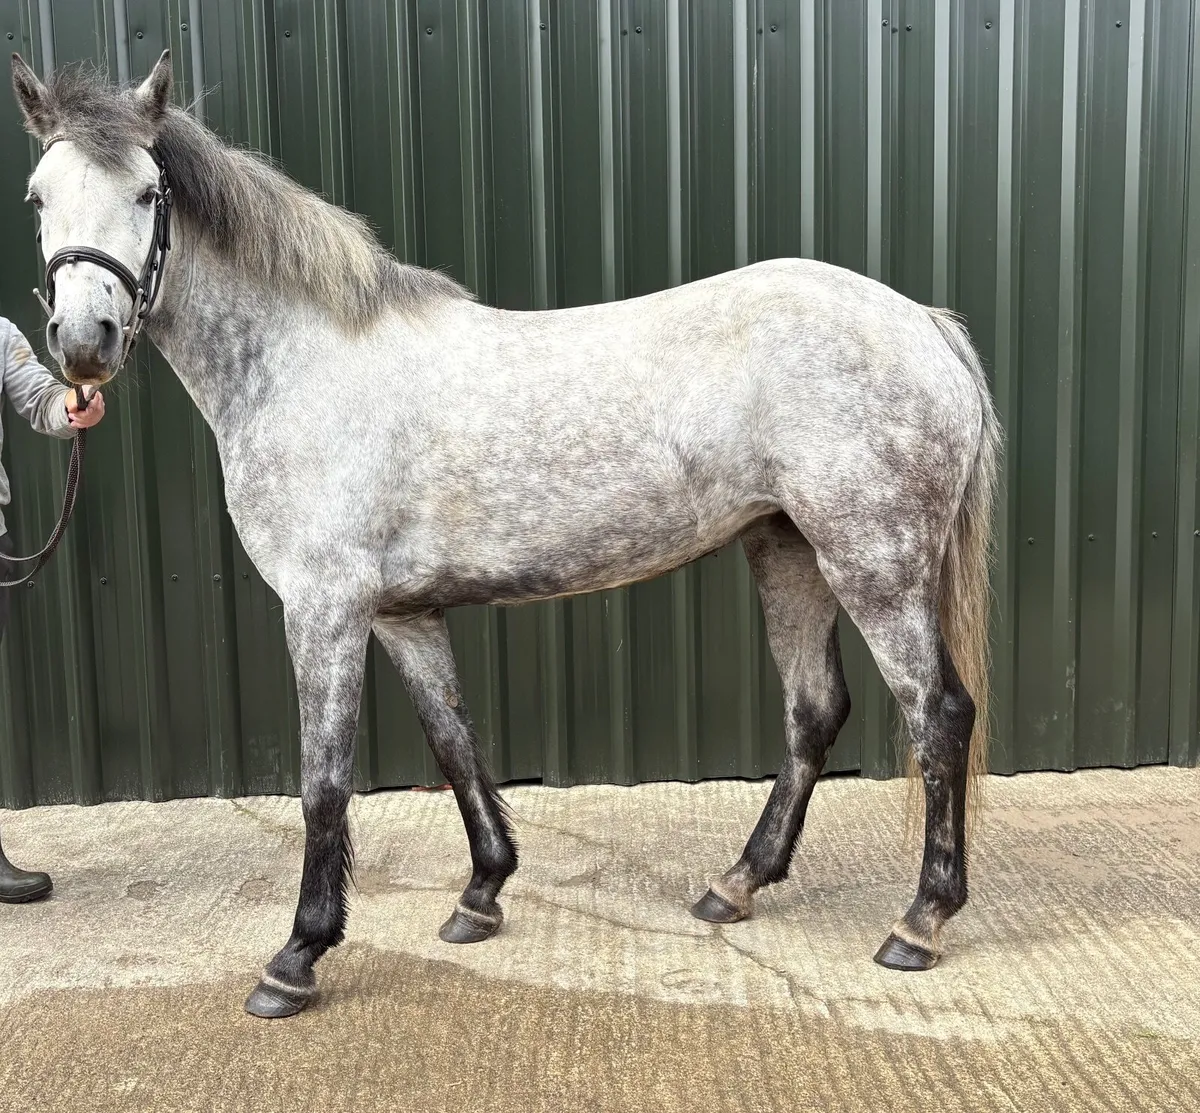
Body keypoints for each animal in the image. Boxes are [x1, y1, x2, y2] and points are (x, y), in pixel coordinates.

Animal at [11, 51, 1000, 1019]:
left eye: (148, 192)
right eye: (37, 195)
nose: (85, 341)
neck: (305, 364)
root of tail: (924, 325)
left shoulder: (325, 610)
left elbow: (323, 782)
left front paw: (296, 957)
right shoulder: (402, 613)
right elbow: (455, 742)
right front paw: (481, 893)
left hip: (873, 563)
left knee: (939, 715)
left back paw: (919, 920)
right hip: (787, 549)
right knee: (813, 711)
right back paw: (736, 884)